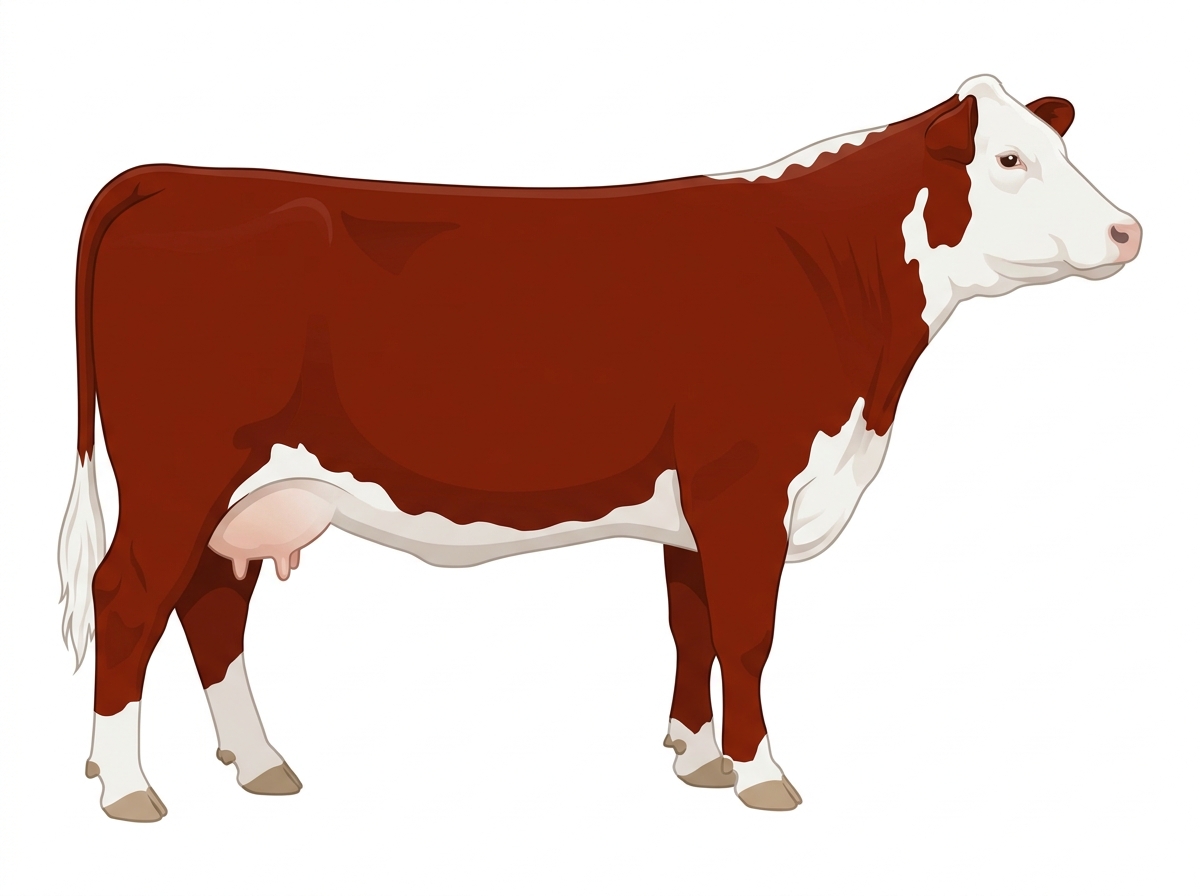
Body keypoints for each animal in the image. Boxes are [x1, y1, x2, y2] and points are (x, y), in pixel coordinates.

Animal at [58, 74, 1140, 821]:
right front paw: (762, 773)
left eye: (1057, 143)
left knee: (210, 606)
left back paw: (260, 763)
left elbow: (693, 625)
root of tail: (173, 178)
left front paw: (697, 757)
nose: (1129, 231)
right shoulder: (747, 488)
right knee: (131, 596)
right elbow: (748, 634)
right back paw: (125, 787)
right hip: (180, 471)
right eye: (1009, 161)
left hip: (250, 492)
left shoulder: (699, 506)